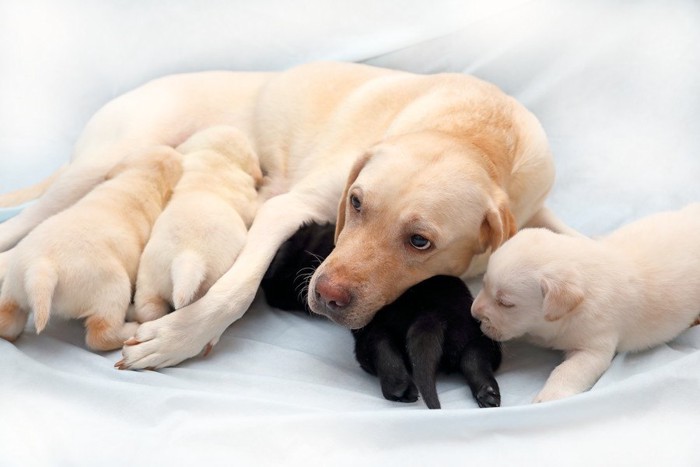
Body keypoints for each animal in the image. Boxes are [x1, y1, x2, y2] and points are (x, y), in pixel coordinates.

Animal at [0, 148, 183, 350]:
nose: (173, 150)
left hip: (14, 287)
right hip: (113, 289)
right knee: (100, 335)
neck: (140, 178)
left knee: (7, 323)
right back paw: (131, 326)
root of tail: (42, 269)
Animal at [133, 126, 262, 324]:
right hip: (206, 282)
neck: (216, 157)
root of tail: (186, 258)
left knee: (147, 311)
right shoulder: (248, 199)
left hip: (148, 281)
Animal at [260, 221, 500, 408]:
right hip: (478, 337)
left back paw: (400, 389)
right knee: (474, 358)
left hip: (371, 338)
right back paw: (488, 393)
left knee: (383, 353)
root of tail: (433, 315)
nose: (268, 289)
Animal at [470, 203, 700, 404]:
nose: (474, 314)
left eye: (505, 303)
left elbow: (568, 370)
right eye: (484, 284)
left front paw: (548, 397)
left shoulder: (594, 346)